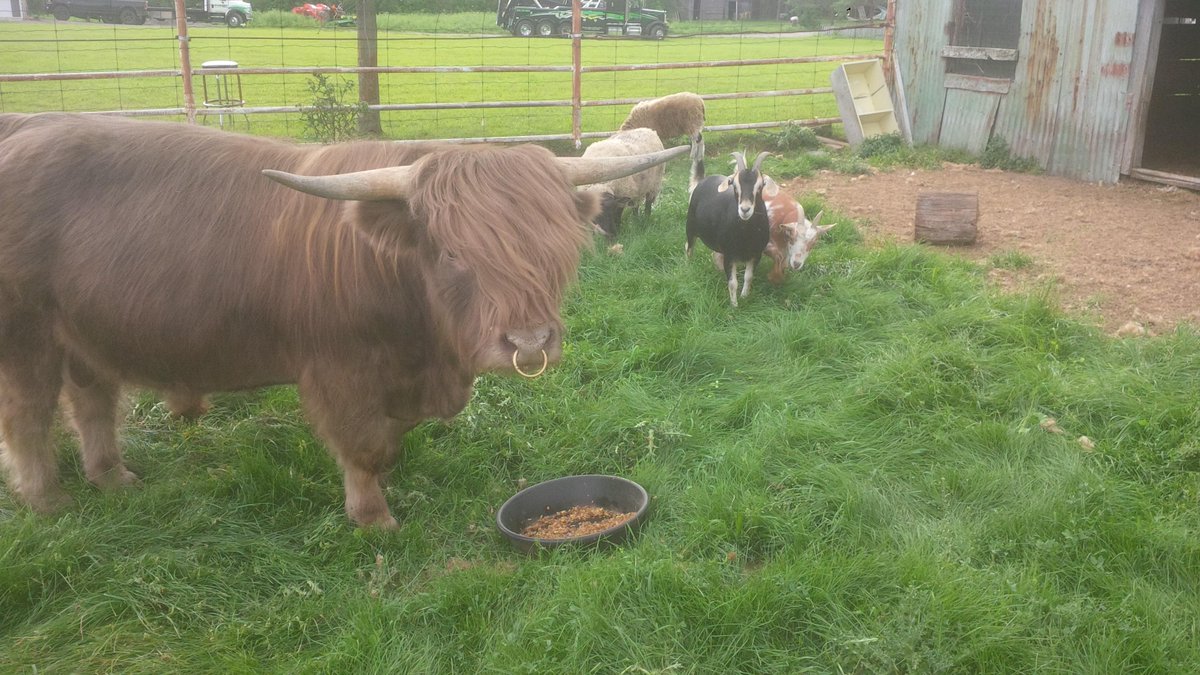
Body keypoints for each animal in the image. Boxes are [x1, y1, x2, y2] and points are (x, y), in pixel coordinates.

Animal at [0, 112, 687, 528]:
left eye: (556, 247)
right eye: (453, 253)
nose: (530, 342)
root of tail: (27, 127)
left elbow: (391, 440)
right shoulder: (339, 372)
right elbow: (365, 446)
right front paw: (373, 515)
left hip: (83, 331)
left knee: (92, 402)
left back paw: (112, 478)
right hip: (25, 334)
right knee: (29, 417)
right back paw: (48, 499)